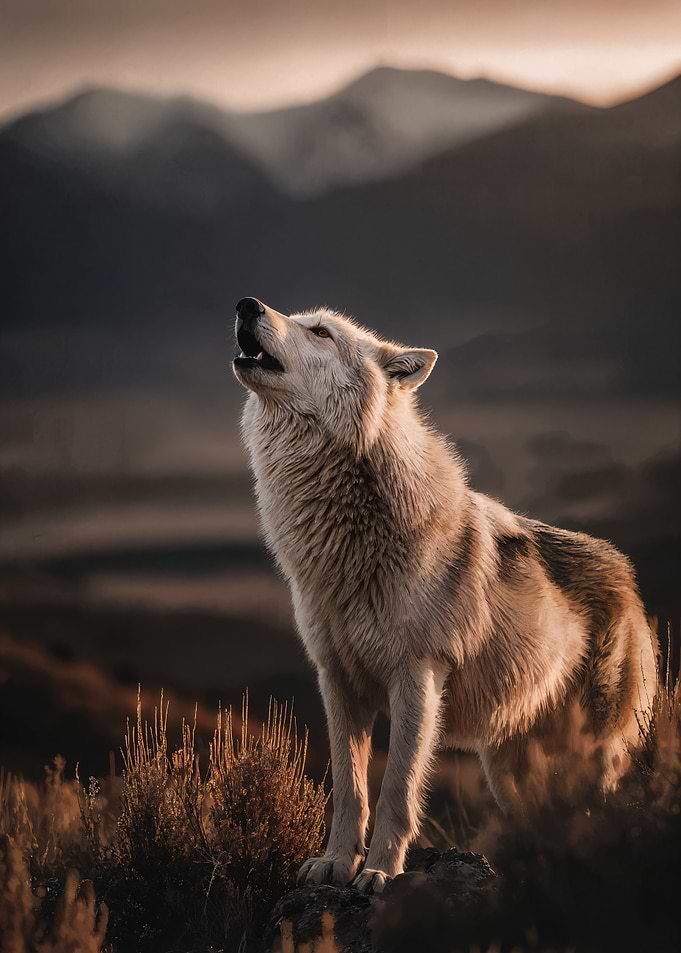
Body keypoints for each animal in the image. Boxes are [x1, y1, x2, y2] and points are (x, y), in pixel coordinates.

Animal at [232, 296, 657, 894]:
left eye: (319, 332)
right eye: (297, 317)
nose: (247, 304)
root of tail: (628, 576)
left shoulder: (417, 677)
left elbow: (397, 789)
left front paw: (380, 872)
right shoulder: (336, 679)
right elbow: (349, 788)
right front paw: (336, 863)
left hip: (596, 756)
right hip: (509, 772)